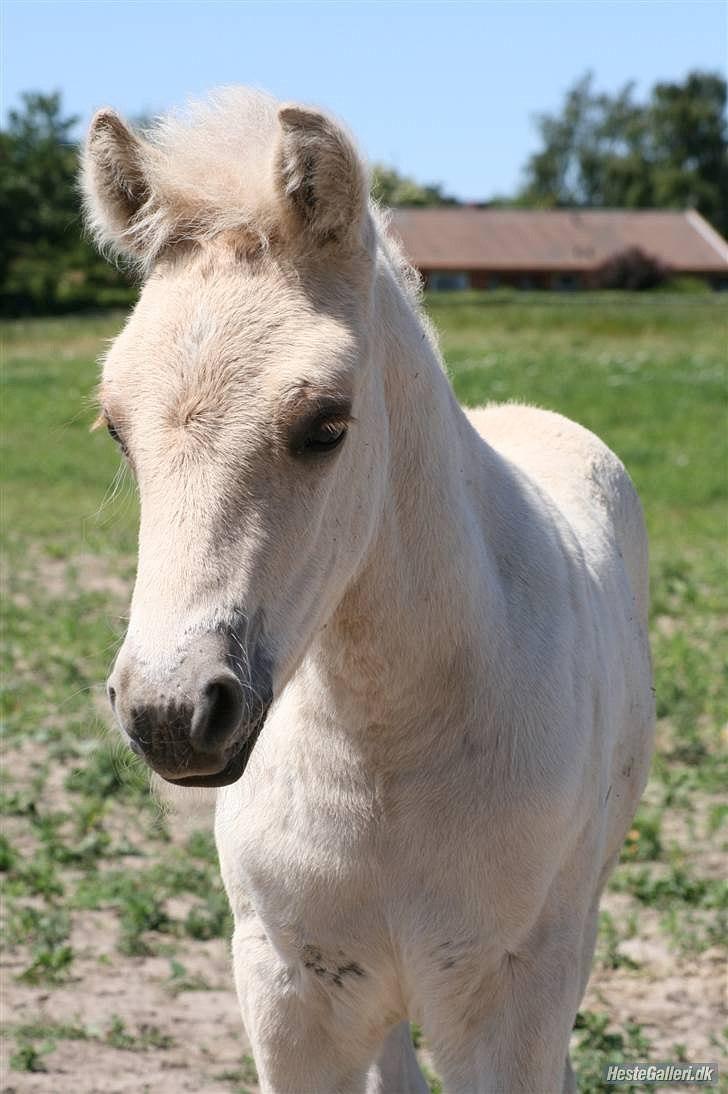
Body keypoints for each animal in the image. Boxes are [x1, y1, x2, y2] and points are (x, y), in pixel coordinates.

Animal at [85, 87, 652, 1094]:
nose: (169, 712)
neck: (384, 742)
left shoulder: (508, 1005)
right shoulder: (289, 992)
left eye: (325, 424)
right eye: (117, 427)